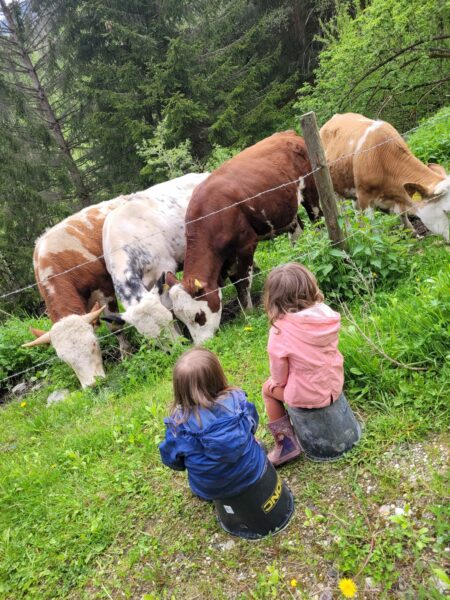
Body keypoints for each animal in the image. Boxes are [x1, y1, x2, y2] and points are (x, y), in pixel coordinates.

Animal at [22, 195, 128, 386]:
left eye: (94, 344)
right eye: (65, 359)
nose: (93, 384)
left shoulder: (105, 288)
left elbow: (114, 326)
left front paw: (127, 355)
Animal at [320, 112, 450, 239]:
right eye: (447, 211)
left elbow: (402, 213)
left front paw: (413, 233)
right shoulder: (364, 196)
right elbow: (373, 227)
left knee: (356, 211)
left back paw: (361, 231)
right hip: (335, 190)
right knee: (343, 213)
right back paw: (349, 232)